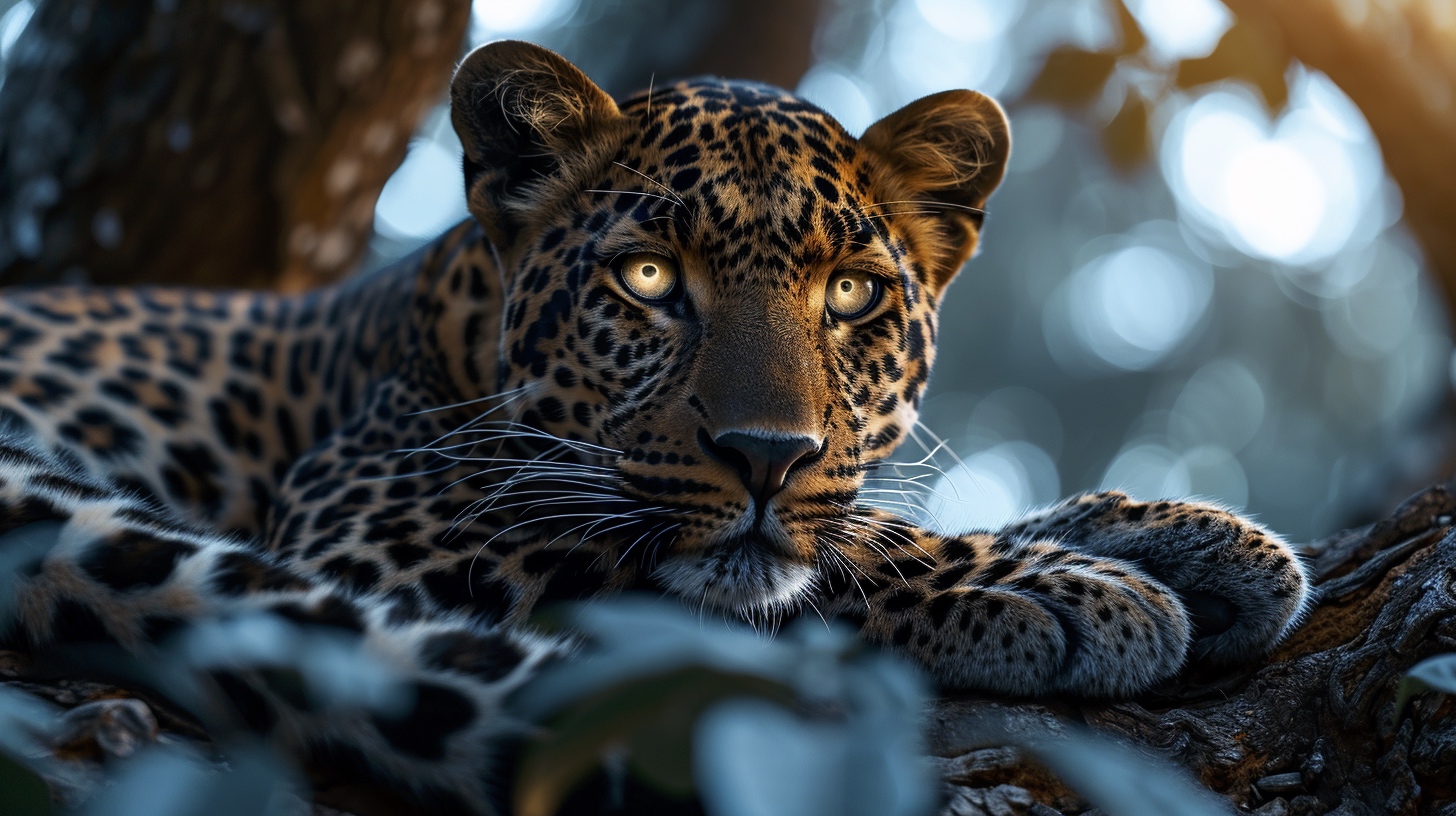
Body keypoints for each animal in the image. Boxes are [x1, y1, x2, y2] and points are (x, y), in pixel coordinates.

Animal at [0, 40, 1310, 813]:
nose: (768, 458)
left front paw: (1184, 540)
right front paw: (1052, 589)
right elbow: (803, 557)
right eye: (645, 280)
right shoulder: (377, 524)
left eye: (850, 294)